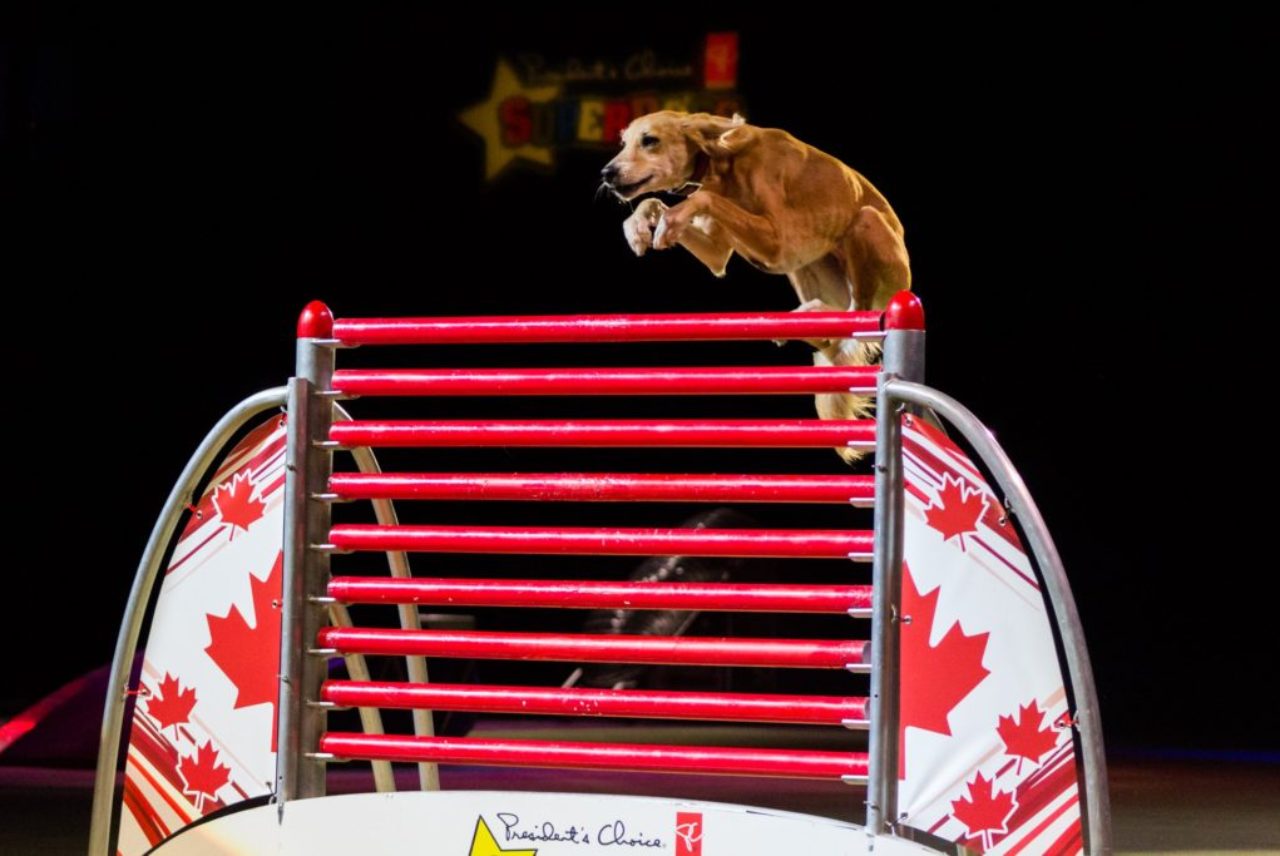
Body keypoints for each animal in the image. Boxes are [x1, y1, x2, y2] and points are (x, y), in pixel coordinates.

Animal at [601, 111, 911, 463]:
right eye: (623, 143)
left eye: (650, 140)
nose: (606, 174)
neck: (721, 161)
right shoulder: (719, 254)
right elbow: (655, 202)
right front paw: (638, 227)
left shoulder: (778, 243)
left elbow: (703, 199)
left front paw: (668, 221)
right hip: (807, 267)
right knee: (832, 336)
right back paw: (806, 322)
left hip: (866, 226)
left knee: (858, 311)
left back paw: (809, 314)